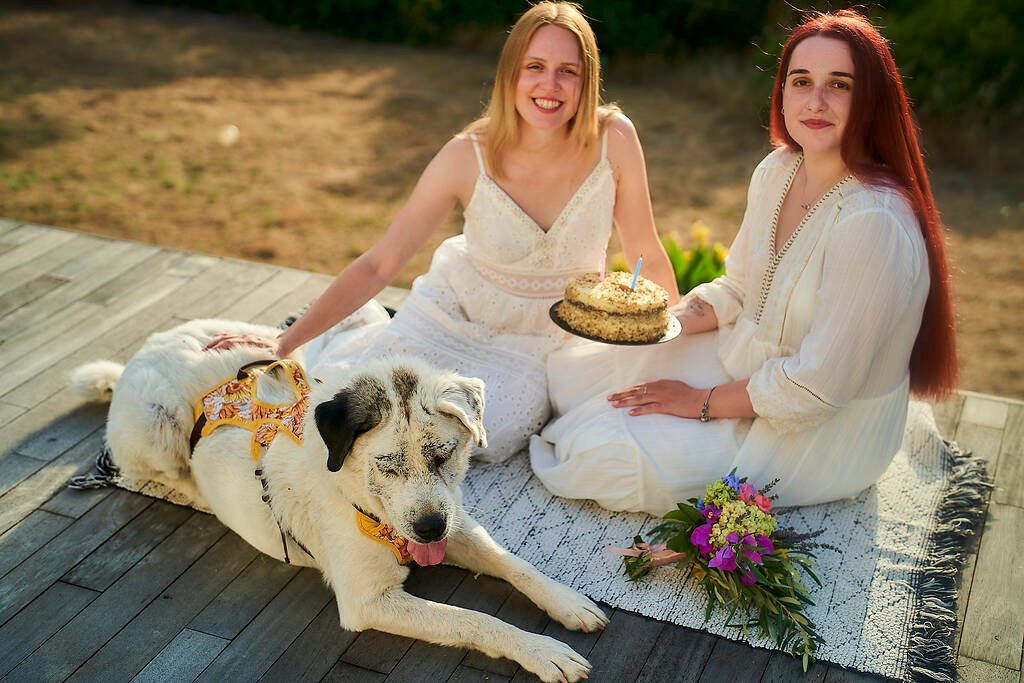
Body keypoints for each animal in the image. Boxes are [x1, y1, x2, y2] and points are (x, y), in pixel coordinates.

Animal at [75, 321, 610, 683]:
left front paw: (567, 603)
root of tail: (143, 352)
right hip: (155, 429)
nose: (430, 529)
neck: (361, 500)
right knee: (150, 469)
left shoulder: (457, 522)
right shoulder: (368, 601)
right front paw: (542, 651)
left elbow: (514, 563)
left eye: (444, 455)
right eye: (387, 465)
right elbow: (473, 619)